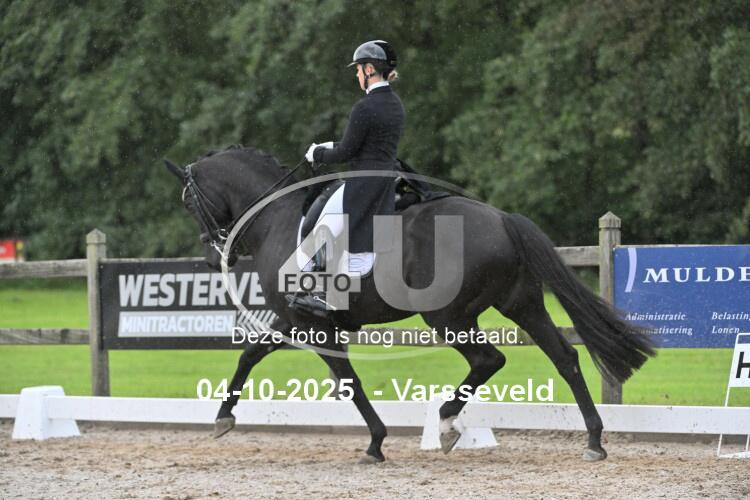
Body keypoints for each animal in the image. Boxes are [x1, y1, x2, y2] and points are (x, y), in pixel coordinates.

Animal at [164, 146, 654, 463]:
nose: (212, 257)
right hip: (522, 303)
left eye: (188, 202)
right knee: (565, 356)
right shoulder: (295, 320)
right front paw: (223, 417)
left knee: (489, 359)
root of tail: (501, 219)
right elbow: (251, 353)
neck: (277, 221)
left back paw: (446, 424)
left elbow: (349, 382)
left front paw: (376, 444)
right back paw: (593, 440)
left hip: (448, 316)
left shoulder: (312, 325)